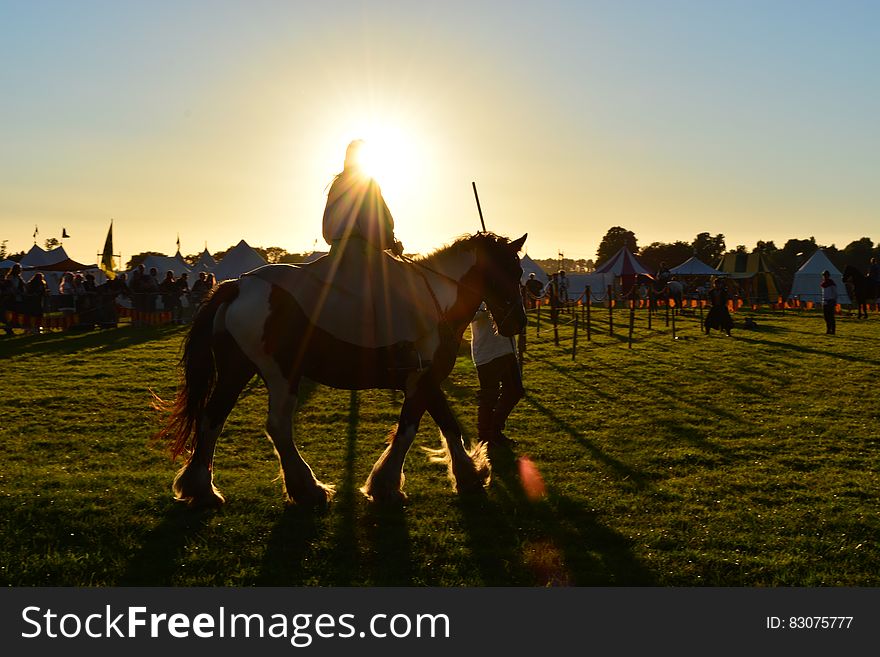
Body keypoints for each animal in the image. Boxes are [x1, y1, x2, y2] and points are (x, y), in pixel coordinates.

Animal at [154, 232, 524, 508]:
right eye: (510, 272)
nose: (516, 323)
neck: (437, 299)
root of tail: (238, 285)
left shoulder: (426, 380)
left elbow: (448, 425)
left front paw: (469, 475)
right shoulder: (421, 379)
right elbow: (408, 431)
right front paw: (386, 485)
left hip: (236, 371)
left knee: (212, 418)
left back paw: (202, 489)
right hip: (281, 374)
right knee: (277, 426)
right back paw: (307, 488)